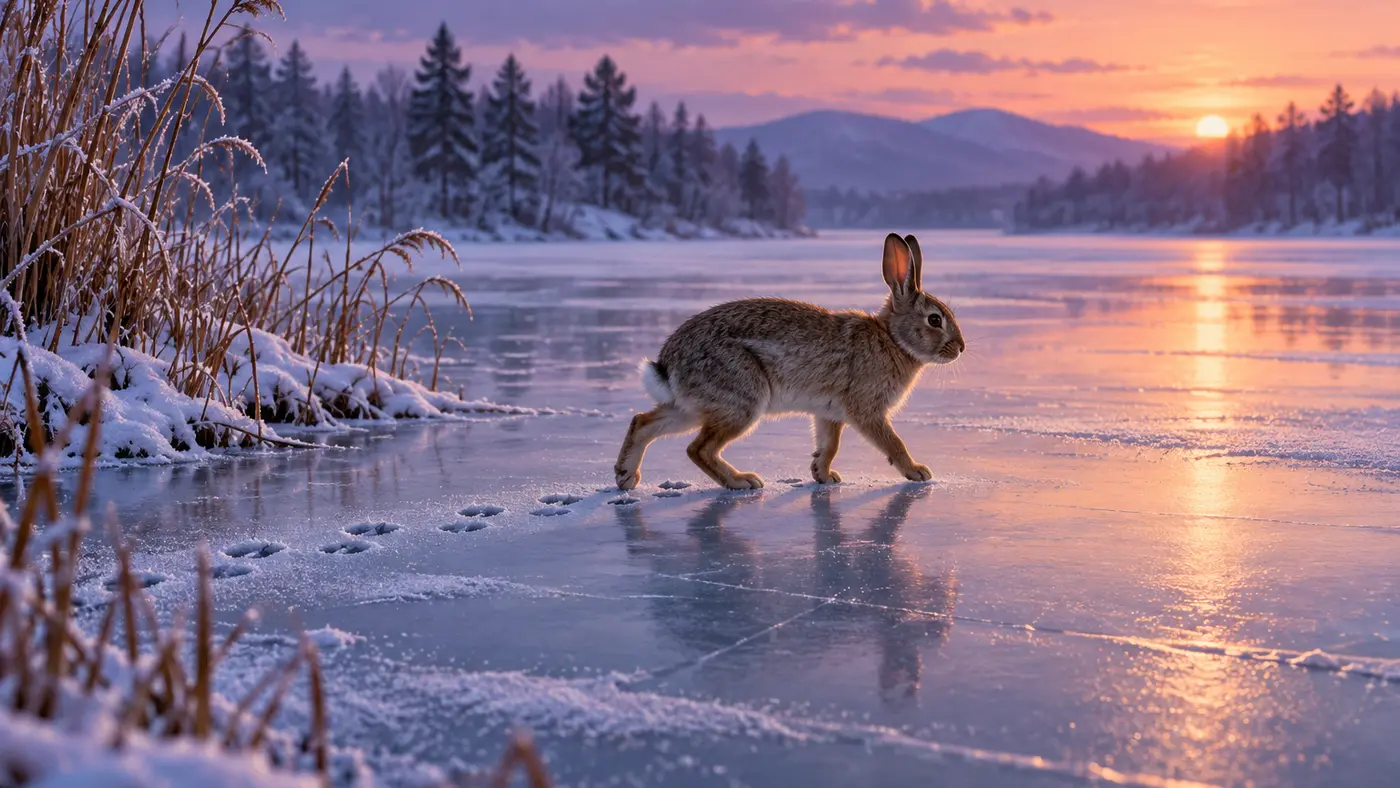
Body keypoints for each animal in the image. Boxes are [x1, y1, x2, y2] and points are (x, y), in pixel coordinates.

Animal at [614, 233, 965, 491]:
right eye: (935, 320)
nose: (960, 348)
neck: (892, 339)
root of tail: (669, 363)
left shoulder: (829, 413)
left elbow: (829, 445)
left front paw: (824, 475)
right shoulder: (866, 409)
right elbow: (893, 443)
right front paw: (918, 472)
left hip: (694, 406)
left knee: (643, 422)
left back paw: (625, 476)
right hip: (741, 400)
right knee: (698, 449)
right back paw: (742, 481)